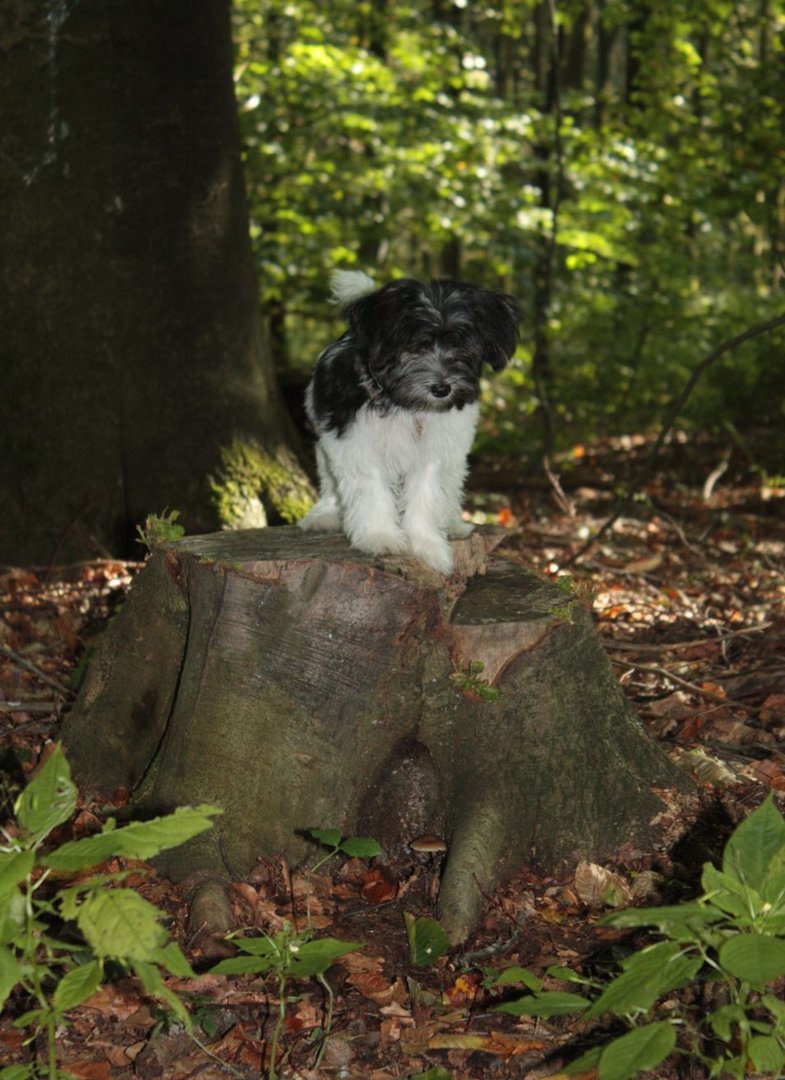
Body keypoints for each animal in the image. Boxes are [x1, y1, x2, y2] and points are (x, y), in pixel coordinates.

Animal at [298, 270, 518, 574]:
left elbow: (426, 495)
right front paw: (380, 536)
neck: (406, 405)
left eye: (461, 346)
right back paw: (325, 514)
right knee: (330, 481)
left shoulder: (433, 452)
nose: (442, 388)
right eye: (416, 347)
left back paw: (452, 522)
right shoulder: (356, 442)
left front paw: (428, 545)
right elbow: (371, 487)